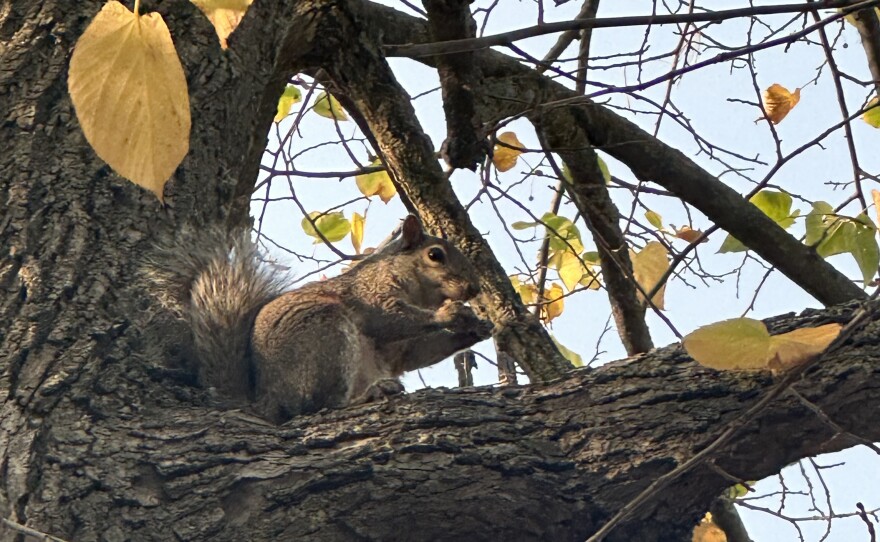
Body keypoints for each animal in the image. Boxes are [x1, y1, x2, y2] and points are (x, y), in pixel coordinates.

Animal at [151, 214, 496, 424]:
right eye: (435, 255)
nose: (474, 288)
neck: (420, 294)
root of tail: (267, 398)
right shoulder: (370, 295)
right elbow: (389, 318)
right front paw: (450, 313)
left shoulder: (401, 350)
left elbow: (419, 353)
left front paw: (478, 328)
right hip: (325, 332)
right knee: (319, 406)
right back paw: (368, 395)